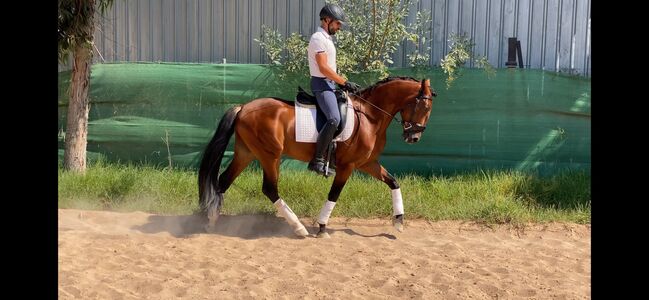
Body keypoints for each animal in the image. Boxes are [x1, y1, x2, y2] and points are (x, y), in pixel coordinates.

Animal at [197, 76, 438, 238]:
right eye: (425, 106)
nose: (414, 137)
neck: (370, 116)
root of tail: (243, 107)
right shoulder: (348, 166)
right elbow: (334, 194)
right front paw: (322, 227)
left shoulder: (368, 163)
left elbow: (393, 182)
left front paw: (399, 220)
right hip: (270, 155)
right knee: (269, 188)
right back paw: (299, 228)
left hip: (246, 153)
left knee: (223, 181)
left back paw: (211, 222)